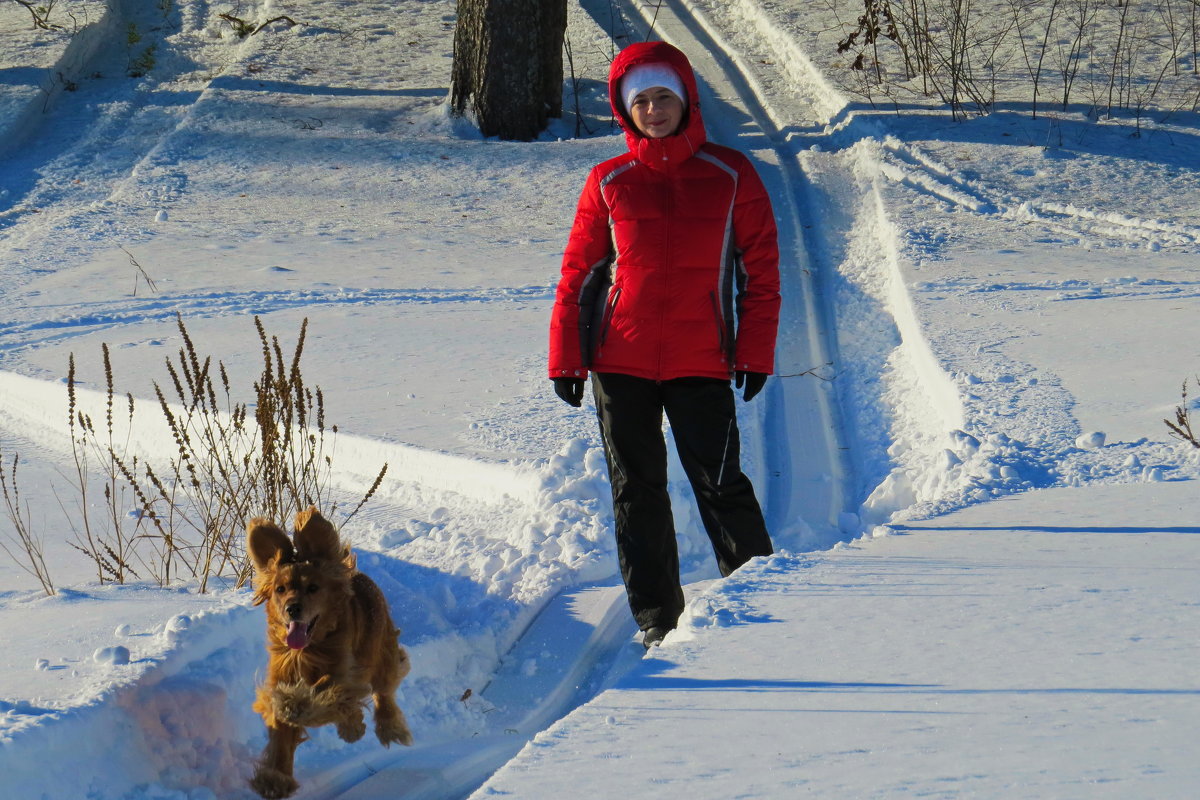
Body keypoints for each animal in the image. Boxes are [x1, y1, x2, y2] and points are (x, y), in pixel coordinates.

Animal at [246, 510, 415, 796]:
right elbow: (281, 732)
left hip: (381, 651)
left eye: (313, 588)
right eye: (280, 589)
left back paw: (387, 728)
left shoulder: (343, 674)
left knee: (383, 690)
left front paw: (296, 706)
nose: (292, 608)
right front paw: (275, 780)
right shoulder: (282, 676)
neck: (308, 650)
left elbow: (324, 696)